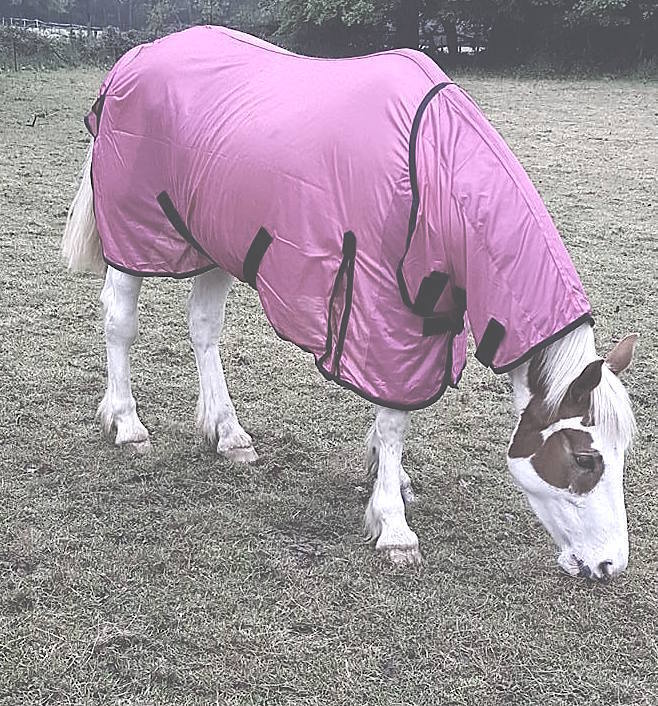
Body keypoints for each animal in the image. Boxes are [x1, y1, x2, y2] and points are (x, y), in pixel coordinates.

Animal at [62, 26, 637, 581]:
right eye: (585, 459)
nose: (610, 565)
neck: (432, 169)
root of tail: (136, 57)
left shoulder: (426, 320)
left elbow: (393, 415)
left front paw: (391, 478)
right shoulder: (381, 313)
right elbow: (394, 418)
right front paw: (394, 528)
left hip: (213, 240)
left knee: (203, 328)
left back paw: (228, 434)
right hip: (135, 232)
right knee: (120, 320)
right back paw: (127, 425)